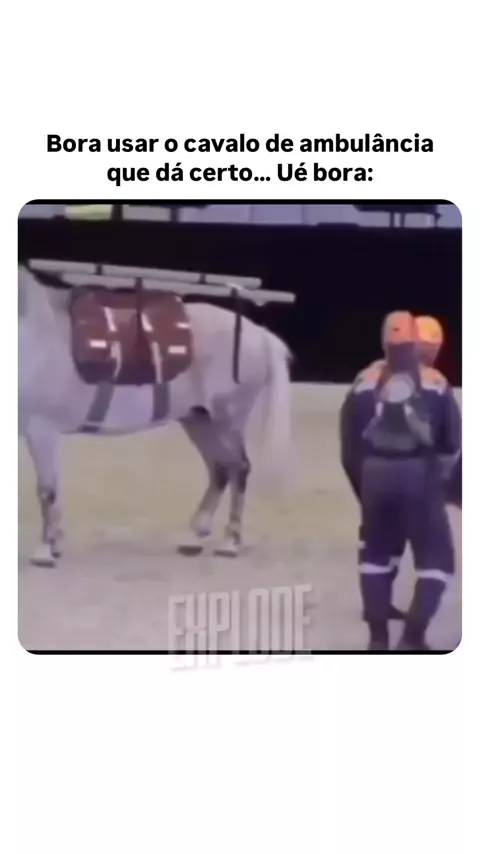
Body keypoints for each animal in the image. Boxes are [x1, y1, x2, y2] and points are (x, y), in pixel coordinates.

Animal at [18, 265, 293, 566]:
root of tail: (259, 334)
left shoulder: (41, 429)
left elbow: (46, 489)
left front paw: (45, 551)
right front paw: (54, 545)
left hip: (227, 420)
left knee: (239, 468)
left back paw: (229, 543)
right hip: (199, 420)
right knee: (220, 469)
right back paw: (194, 538)